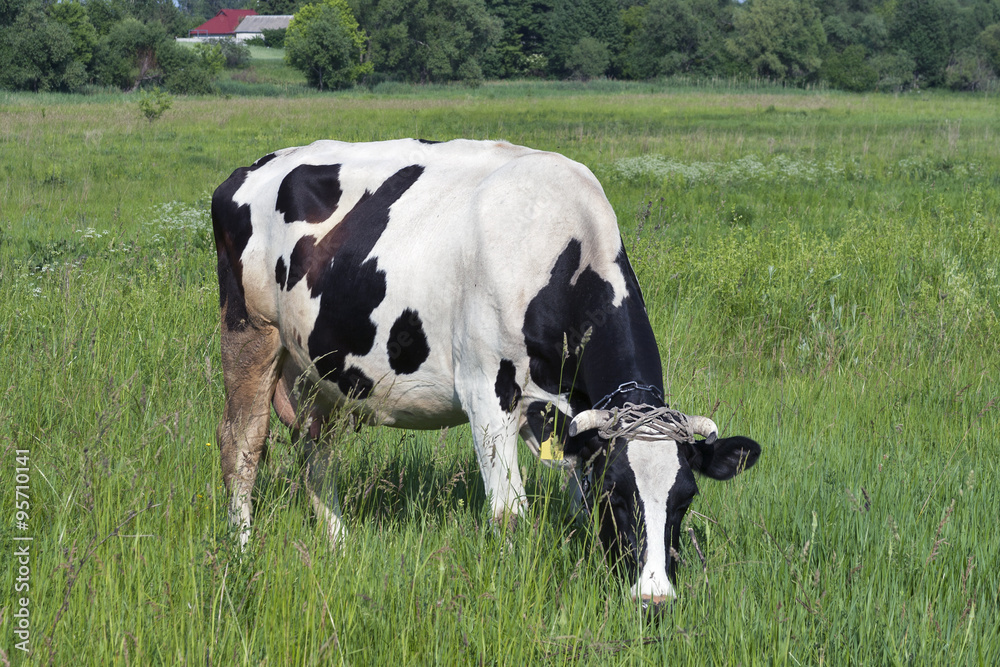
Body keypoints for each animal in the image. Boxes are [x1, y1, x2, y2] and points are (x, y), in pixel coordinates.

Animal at [211, 140, 756, 604]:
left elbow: (575, 497)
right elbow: (509, 512)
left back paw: (339, 543)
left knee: (316, 449)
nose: (654, 598)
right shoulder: (486, 393)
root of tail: (251, 168)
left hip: (322, 369)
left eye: (685, 499)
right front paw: (513, 588)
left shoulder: (571, 411)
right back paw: (241, 549)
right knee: (242, 444)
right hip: (251, 332)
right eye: (618, 495)